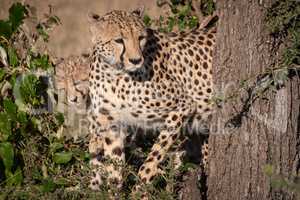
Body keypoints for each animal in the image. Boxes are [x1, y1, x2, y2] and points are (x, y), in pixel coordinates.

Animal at [86, 9, 216, 192]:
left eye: (140, 38)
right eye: (118, 40)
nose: (135, 60)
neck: (114, 73)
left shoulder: (183, 107)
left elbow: (154, 156)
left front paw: (140, 188)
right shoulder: (111, 123)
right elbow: (114, 168)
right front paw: (114, 191)